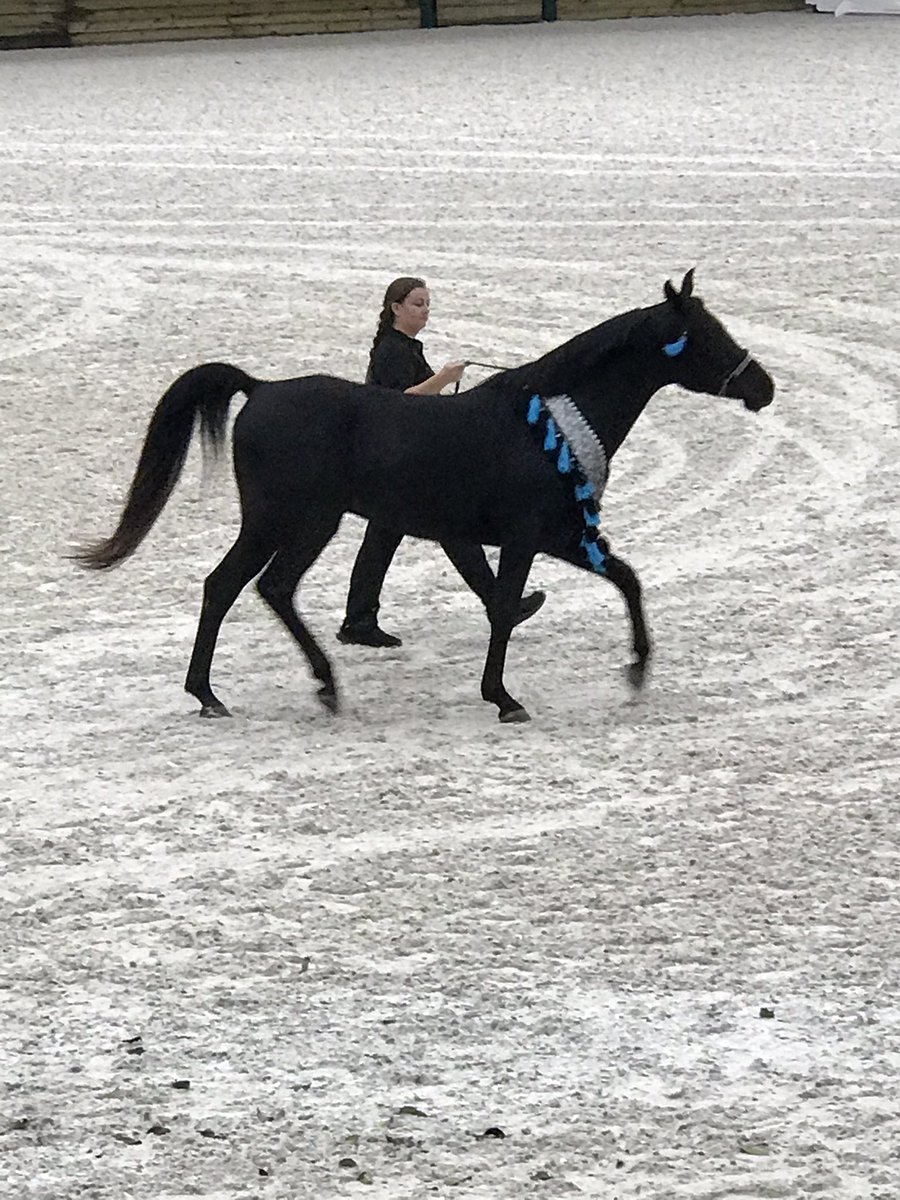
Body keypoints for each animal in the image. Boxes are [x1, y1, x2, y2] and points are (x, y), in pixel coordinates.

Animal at [74, 270, 774, 724]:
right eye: (706, 333)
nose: (763, 386)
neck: (546, 421)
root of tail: (263, 389)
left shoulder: (563, 535)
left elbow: (625, 579)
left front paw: (637, 671)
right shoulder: (525, 537)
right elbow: (503, 607)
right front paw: (504, 698)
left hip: (291, 524)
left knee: (235, 586)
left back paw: (220, 693)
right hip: (296, 522)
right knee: (256, 587)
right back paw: (298, 687)